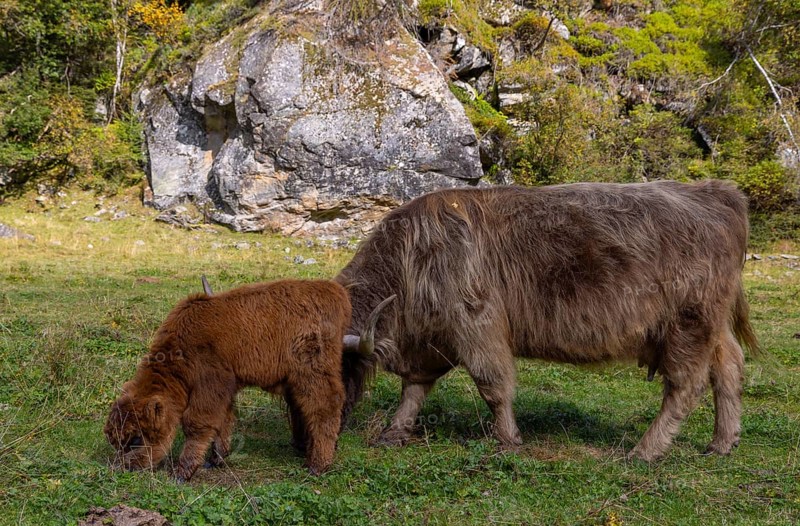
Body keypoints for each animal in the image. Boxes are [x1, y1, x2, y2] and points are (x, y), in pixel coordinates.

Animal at [104, 279, 392, 481]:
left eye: (135, 438)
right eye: (116, 440)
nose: (121, 466)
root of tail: (335, 293)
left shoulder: (210, 385)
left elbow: (198, 423)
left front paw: (182, 473)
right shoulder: (226, 389)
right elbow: (224, 420)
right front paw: (216, 459)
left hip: (312, 372)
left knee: (325, 407)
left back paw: (317, 465)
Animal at [337, 180, 759, 462]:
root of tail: (716, 192)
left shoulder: (476, 326)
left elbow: (493, 385)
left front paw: (508, 440)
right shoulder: (432, 341)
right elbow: (414, 389)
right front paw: (394, 432)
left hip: (688, 325)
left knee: (686, 385)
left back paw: (645, 450)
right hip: (713, 327)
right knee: (729, 368)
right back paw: (723, 442)